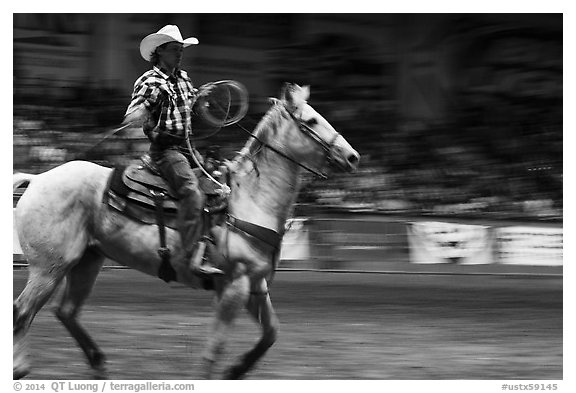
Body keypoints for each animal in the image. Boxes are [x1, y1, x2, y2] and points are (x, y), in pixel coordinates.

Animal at [12, 83, 360, 380]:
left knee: (66, 311)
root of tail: (38, 178)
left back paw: (98, 364)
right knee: (22, 311)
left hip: (87, 260)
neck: (250, 199)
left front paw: (236, 371)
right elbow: (214, 349)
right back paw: (20, 367)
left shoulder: (255, 285)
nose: (352, 156)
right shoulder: (234, 285)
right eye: (312, 120)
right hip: (49, 267)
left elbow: (271, 332)